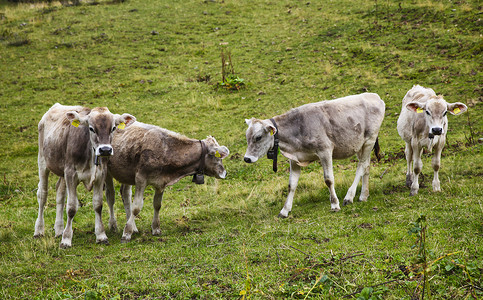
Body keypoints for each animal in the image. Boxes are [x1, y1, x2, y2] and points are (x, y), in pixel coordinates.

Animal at [35, 103, 135, 248]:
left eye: (113, 128)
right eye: (91, 128)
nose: (105, 150)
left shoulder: (100, 175)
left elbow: (98, 205)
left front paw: (101, 235)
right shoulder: (71, 174)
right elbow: (71, 207)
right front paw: (66, 239)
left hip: (62, 171)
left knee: (60, 193)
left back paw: (59, 229)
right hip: (43, 162)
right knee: (42, 194)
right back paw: (39, 230)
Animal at [246, 92, 386, 217]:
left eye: (258, 137)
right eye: (247, 137)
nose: (247, 158)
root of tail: (374, 96)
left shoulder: (325, 150)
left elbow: (329, 179)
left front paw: (335, 205)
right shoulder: (294, 159)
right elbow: (291, 185)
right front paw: (285, 210)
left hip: (370, 139)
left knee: (361, 166)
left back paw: (349, 197)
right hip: (359, 145)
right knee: (366, 166)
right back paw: (363, 196)